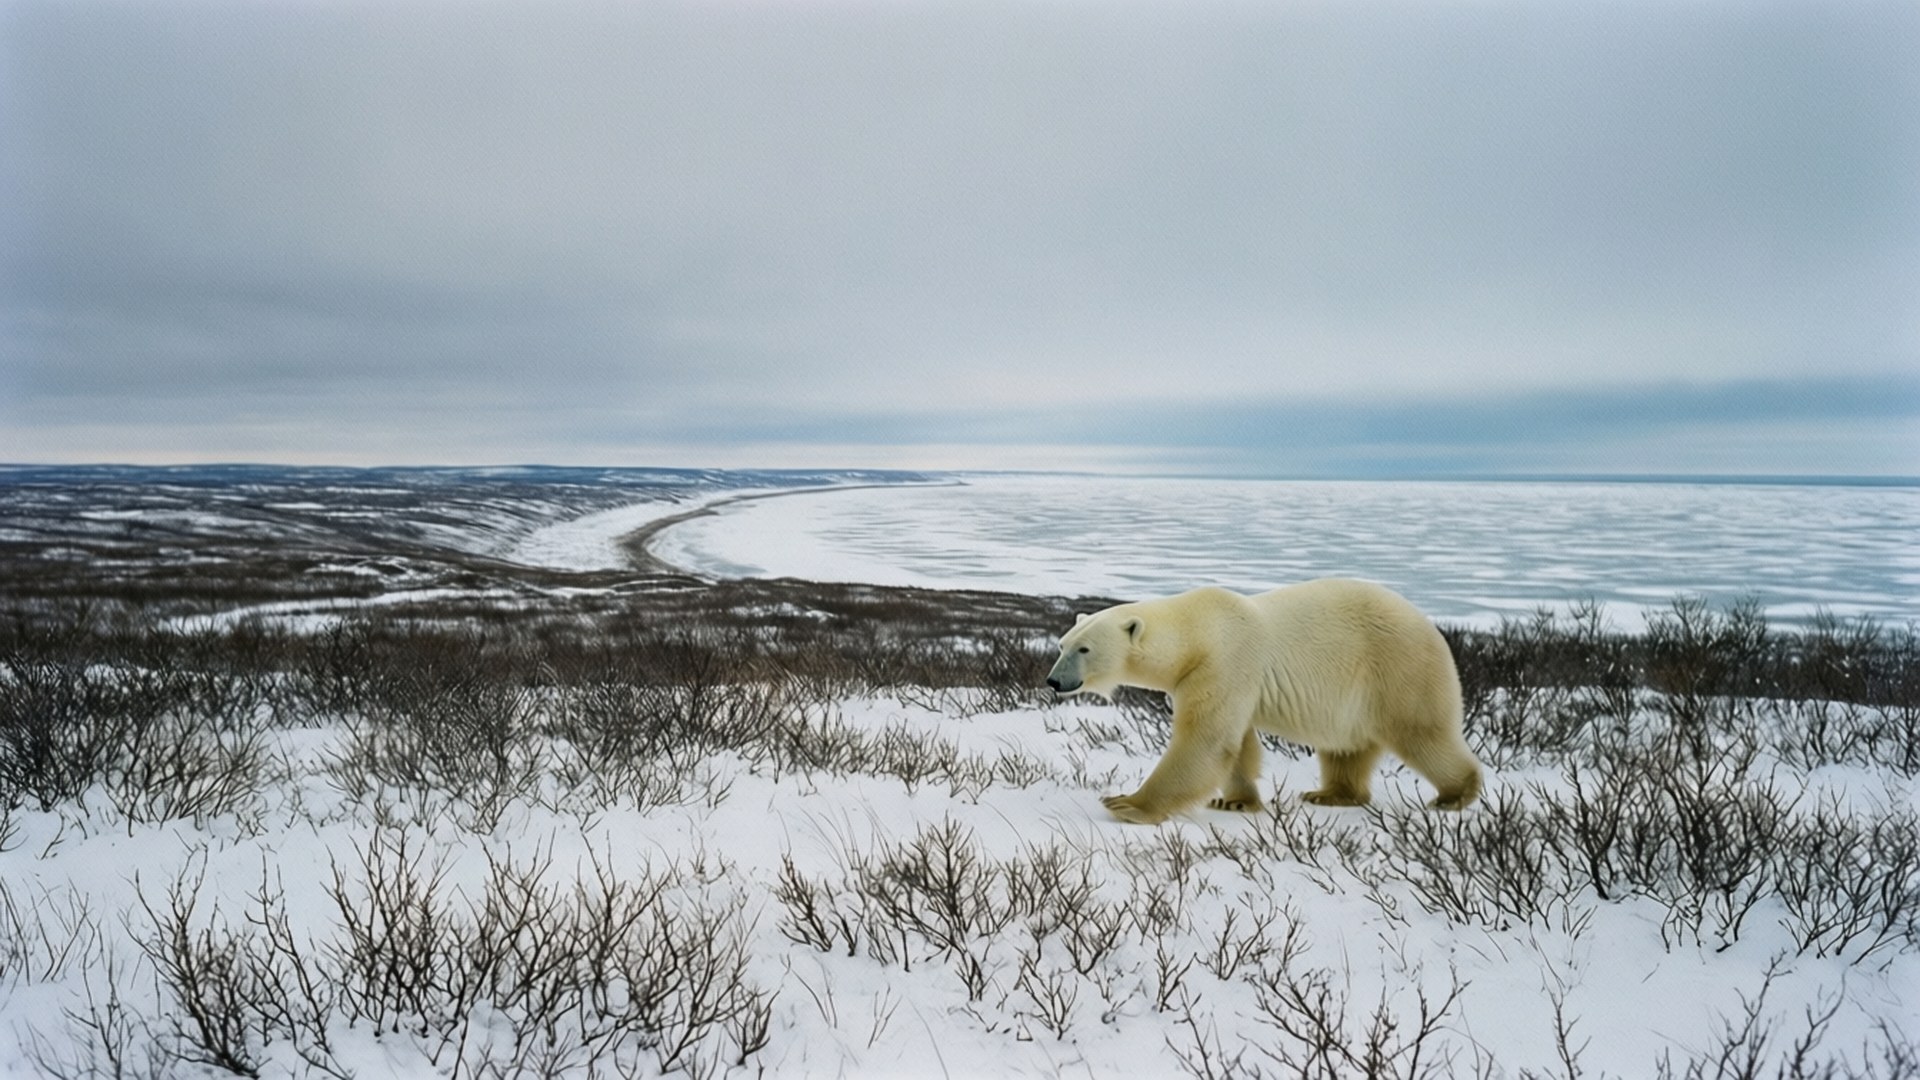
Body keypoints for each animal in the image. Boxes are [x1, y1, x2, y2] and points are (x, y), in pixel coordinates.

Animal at [1045, 579, 1482, 824]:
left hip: (1397, 667)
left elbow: (1205, 740)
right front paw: (1235, 802)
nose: (1053, 681)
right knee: (1345, 746)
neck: (1198, 630)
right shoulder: (1219, 676)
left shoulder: (1224, 661)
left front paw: (1127, 804)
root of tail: (1435, 629)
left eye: (1084, 649)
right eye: (1062, 644)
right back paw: (1331, 794)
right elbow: (1237, 743)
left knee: (1421, 732)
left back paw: (1456, 794)